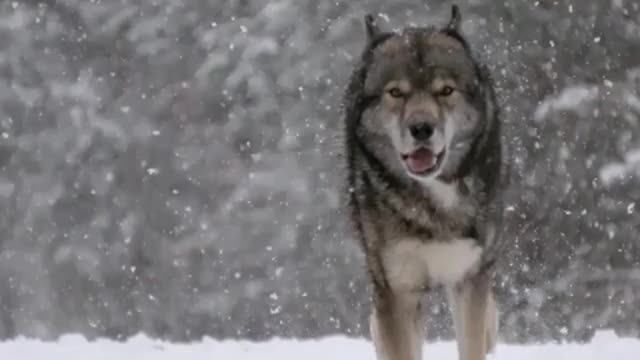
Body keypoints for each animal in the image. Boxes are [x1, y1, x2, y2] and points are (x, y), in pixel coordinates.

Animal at [340, 4, 510, 360]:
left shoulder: (468, 279)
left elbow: (472, 345)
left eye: (445, 90)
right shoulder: (396, 292)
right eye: (396, 92)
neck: (434, 202)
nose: (421, 128)